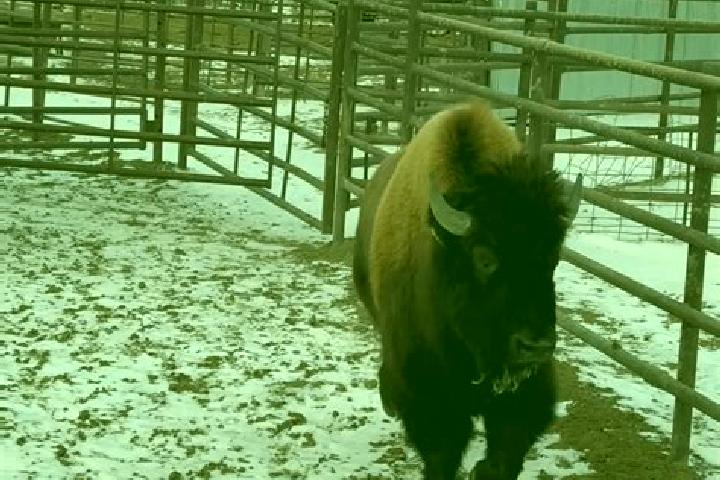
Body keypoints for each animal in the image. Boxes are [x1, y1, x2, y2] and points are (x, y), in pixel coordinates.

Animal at [352, 100, 582, 480]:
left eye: (552, 257)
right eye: (484, 258)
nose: (534, 346)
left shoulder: (525, 395)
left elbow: (506, 451)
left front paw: (483, 469)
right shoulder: (431, 400)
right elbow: (442, 453)